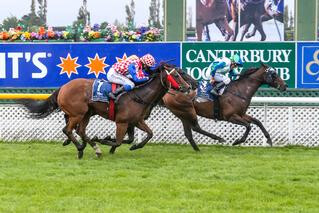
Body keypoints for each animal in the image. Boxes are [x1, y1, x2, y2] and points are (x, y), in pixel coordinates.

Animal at [20, 63, 191, 158]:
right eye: (177, 75)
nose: (188, 87)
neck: (140, 95)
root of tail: (63, 87)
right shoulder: (122, 122)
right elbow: (119, 141)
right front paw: (104, 140)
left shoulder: (136, 121)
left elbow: (148, 134)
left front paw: (135, 146)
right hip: (78, 113)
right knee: (68, 130)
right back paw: (82, 147)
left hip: (86, 114)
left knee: (80, 131)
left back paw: (93, 149)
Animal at [99, 63, 288, 150]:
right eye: (273, 74)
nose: (284, 85)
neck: (239, 91)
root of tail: (169, 92)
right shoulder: (231, 116)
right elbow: (248, 126)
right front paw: (237, 141)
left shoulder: (241, 114)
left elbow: (257, 122)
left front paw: (269, 140)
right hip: (186, 109)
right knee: (195, 128)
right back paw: (217, 139)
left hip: (182, 113)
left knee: (189, 132)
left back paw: (197, 148)